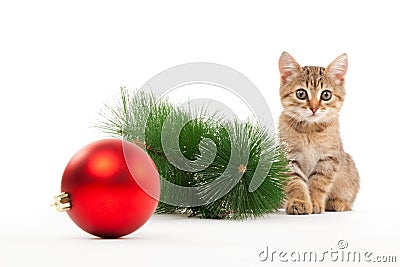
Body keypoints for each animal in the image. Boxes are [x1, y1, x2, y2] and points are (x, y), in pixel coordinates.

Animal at [278, 51, 360, 216]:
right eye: (301, 93)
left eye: (326, 95)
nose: (314, 108)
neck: (309, 130)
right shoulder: (289, 158)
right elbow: (296, 182)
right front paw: (299, 201)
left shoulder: (329, 158)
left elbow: (318, 182)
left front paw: (315, 201)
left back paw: (337, 202)